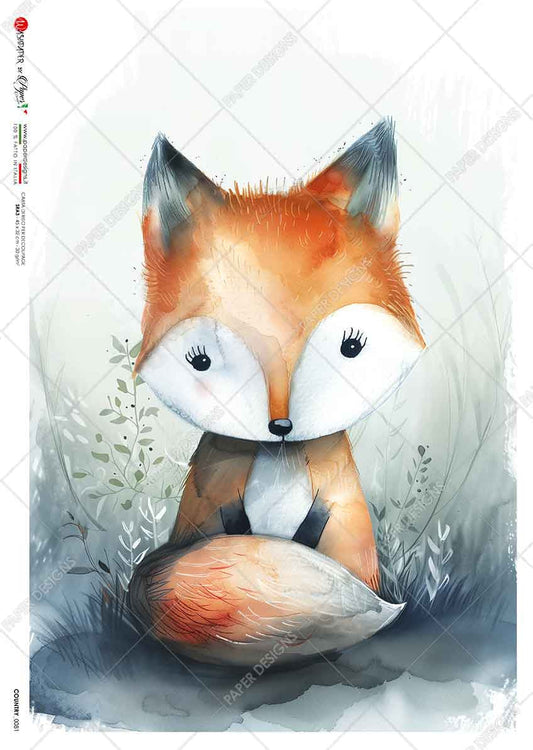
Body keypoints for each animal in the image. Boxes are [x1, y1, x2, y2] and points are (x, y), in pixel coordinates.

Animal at [128, 118, 426, 667]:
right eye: (201, 360)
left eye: (351, 348)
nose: (281, 426)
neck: (278, 458)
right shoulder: (212, 485)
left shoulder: (341, 504)